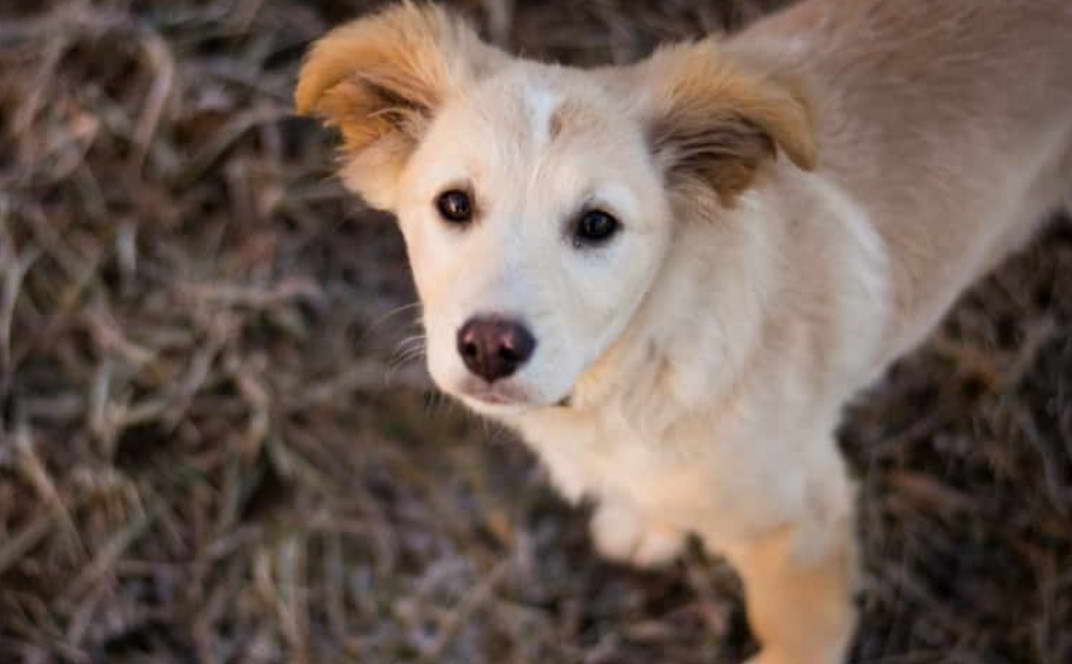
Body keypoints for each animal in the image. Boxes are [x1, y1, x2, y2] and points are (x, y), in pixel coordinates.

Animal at [298, 2, 1072, 660]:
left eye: (597, 224)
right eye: (454, 204)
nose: (490, 346)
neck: (642, 358)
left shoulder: (804, 522)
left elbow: (796, 632)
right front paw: (648, 525)